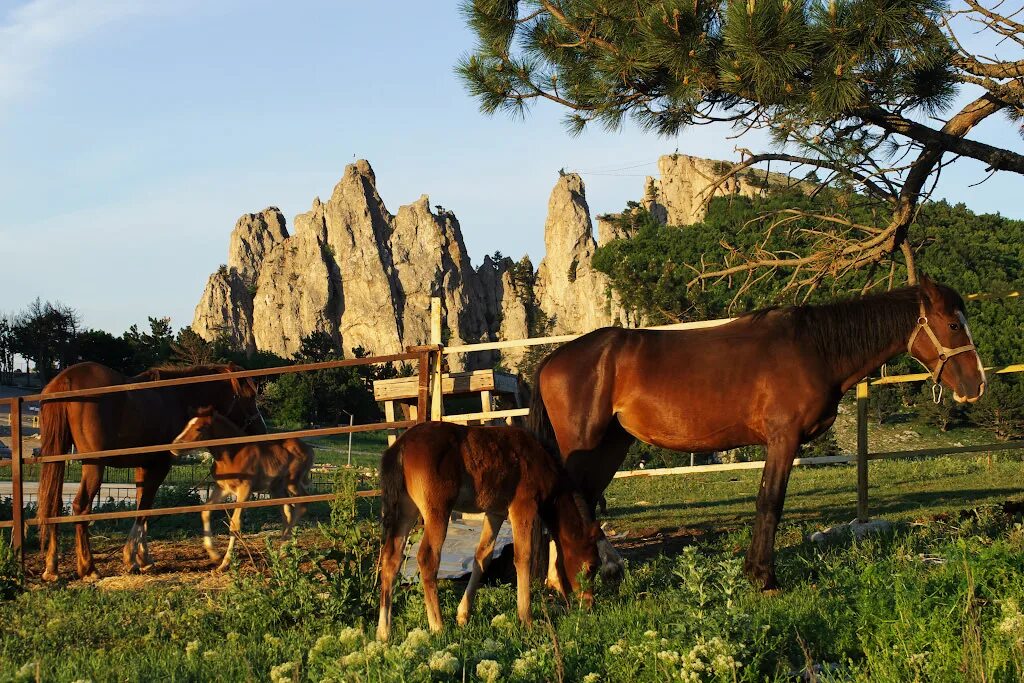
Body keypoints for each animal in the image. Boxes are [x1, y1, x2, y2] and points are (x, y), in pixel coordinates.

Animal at [37, 360, 264, 581]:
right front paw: (132, 557)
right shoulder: (159, 466)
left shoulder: (143, 466)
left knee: (53, 504)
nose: (261, 430)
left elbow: (141, 506)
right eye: (250, 396)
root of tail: (66, 380)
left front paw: (142, 558)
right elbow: (145, 508)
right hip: (94, 464)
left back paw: (52, 568)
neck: (177, 397)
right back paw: (88, 568)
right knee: (81, 506)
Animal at [169, 405, 313, 573]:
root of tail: (308, 448)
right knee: (288, 512)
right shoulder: (222, 488)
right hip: (276, 488)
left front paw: (225, 563)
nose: (174, 446)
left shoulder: (245, 489)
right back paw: (283, 551)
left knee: (302, 503)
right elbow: (205, 510)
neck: (233, 454)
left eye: (199, 428)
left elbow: (235, 523)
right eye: (186, 425)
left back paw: (284, 549)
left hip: (292, 482)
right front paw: (214, 555)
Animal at [376, 421, 598, 643]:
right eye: (591, 567)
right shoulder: (523, 506)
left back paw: (384, 632)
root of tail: (401, 445)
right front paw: (526, 619)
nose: (589, 605)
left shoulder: (496, 512)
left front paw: (463, 615)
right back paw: (437, 626)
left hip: (406, 509)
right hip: (437, 510)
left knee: (390, 559)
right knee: (427, 557)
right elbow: (523, 556)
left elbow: (483, 556)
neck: (539, 459)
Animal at [528, 274, 983, 589]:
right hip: (585, 444)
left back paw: (586, 573)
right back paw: (576, 576)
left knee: (582, 499)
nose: (976, 385)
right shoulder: (783, 440)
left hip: (610, 445)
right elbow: (770, 502)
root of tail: (553, 359)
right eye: (952, 325)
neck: (815, 348)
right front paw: (762, 576)